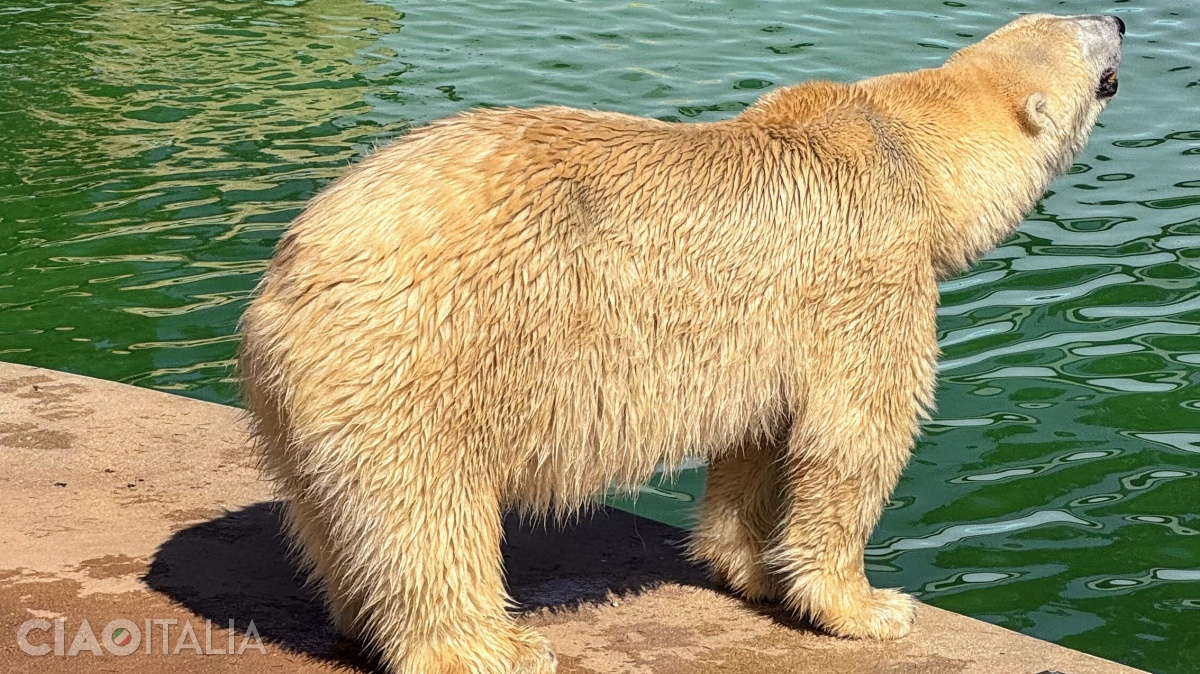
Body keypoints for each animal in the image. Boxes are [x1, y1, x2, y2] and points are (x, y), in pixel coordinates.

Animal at [237, 13, 1123, 674]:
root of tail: (285, 281)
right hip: (415, 360)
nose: (1117, 19)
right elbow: (853, 438)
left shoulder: (774, 326)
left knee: (333, 515)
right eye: (1084, 38)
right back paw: (497, 646)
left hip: (310, 398)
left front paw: (751, 570)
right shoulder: (871, 283)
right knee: (426, 513)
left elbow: (759, 436)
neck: (906, 153)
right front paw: (868, 608)